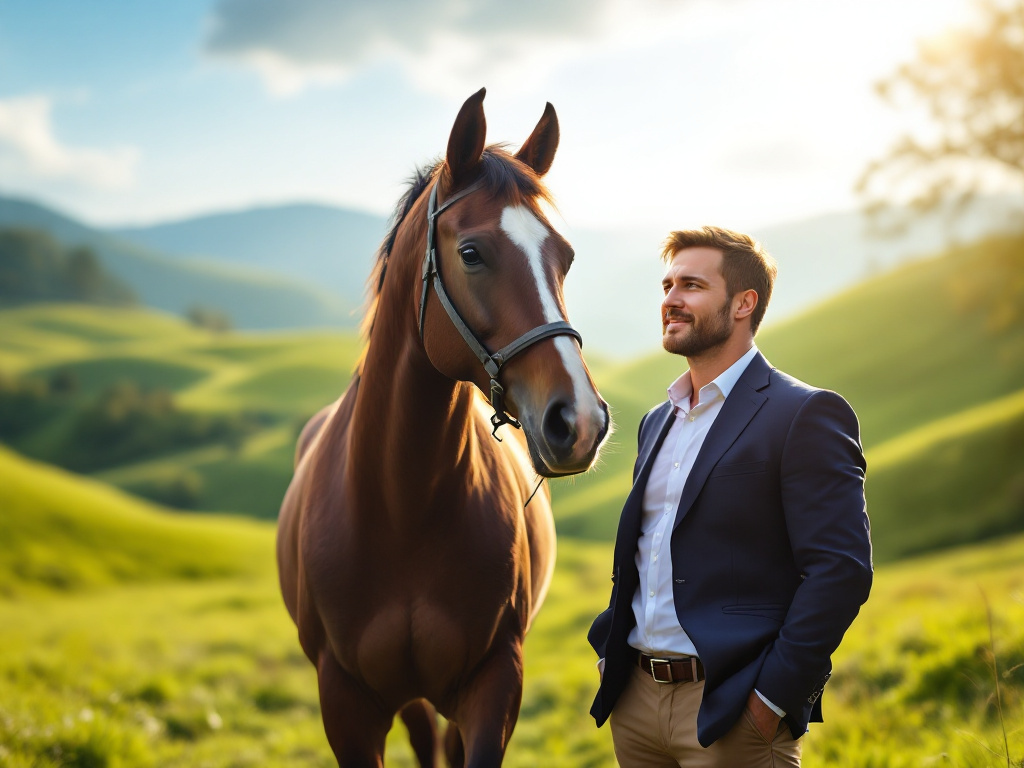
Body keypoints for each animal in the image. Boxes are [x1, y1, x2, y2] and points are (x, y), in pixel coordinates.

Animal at [277, 88, 610, 768]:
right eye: (471, 253)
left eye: (564, 256)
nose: (581, 421)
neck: (403, 508)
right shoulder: (345, 704)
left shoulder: (493, 683)